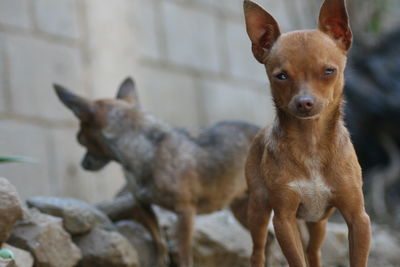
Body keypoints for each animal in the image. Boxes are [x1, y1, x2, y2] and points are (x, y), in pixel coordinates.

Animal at [244, 0, 372, 267]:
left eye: (329, 71)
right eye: (281, 76)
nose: (304, 102)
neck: (311, 141)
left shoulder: (358, 218)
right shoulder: (283, 219)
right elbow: (296, 260)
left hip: (318, 223)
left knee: (314, 252)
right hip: (259, 212)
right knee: (258, 251)